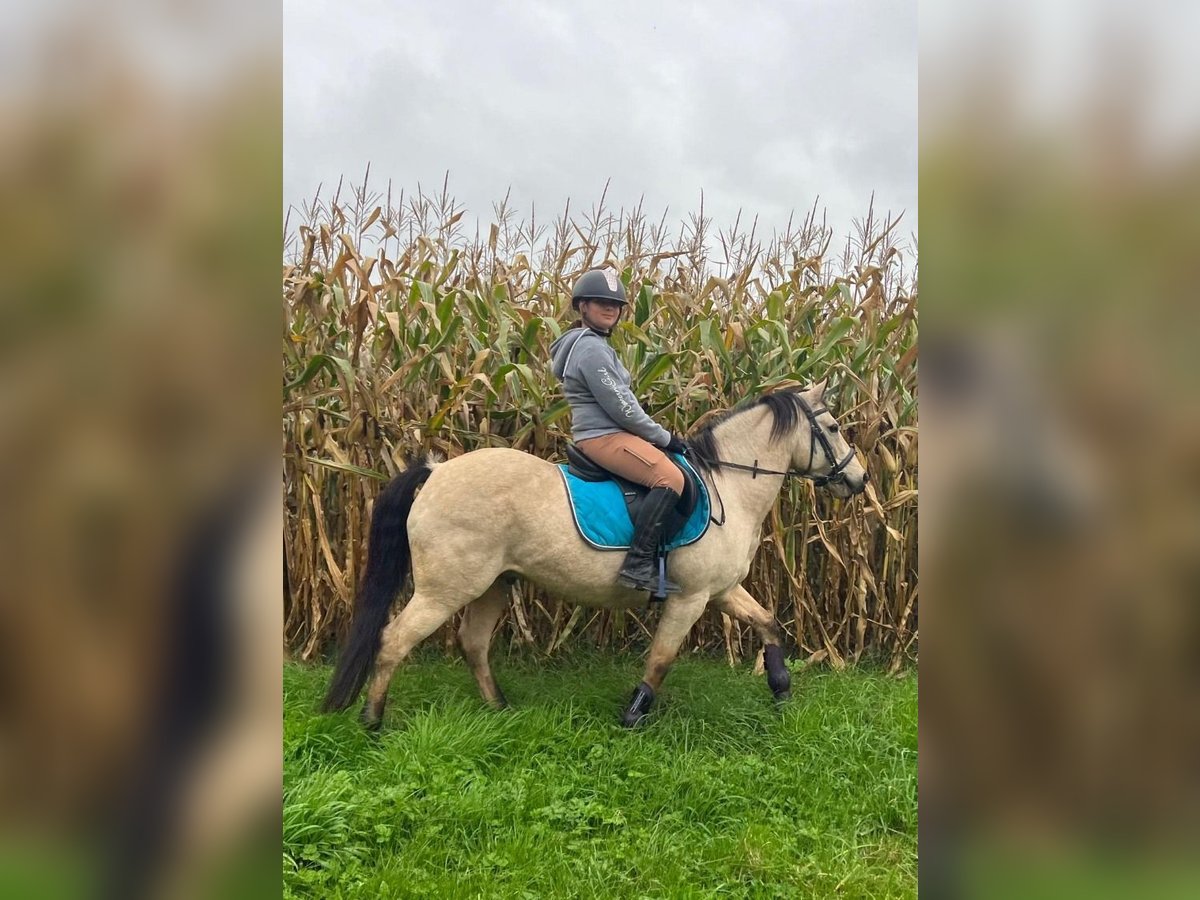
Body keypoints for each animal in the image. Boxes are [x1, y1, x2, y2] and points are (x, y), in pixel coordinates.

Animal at [324, 376, 868, 729]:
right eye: (834, 427)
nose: (859, 481)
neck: (728, 486)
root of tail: (437, 472)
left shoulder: (723, 590)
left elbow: (769, 622)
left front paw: (781, 689)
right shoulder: (689, 598)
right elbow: (662, 659)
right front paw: (634, 714)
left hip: (492, 585)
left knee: (472, 643)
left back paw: (500, 708)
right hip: (445, 589)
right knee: (394, 640)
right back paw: (373, 721)